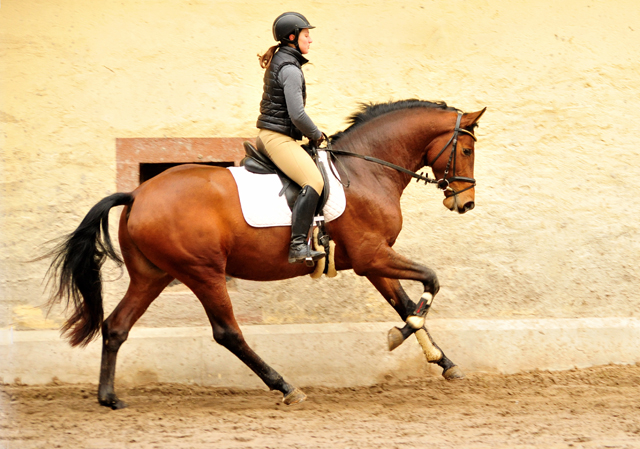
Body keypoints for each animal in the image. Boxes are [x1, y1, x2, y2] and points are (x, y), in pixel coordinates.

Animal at [45, 100, 484, 408]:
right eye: (465, 149)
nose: (466, 203)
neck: (366, 171)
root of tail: (137, 194)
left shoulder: (373, 261)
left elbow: (406, 303)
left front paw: (443, 362)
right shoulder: (371, 256)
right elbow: (431, 281)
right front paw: (399, 338)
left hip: (152, 274)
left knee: (116, 326)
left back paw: (109, 397)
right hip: (202, 271)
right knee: (227, 332)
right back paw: (286, 386)